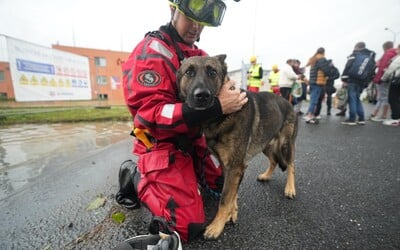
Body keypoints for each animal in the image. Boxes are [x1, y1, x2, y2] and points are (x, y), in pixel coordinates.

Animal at [177, 55, 298, 240]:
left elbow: (225, 198)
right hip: (265, 144)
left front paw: (216, 226)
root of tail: (288, 101)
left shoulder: (235, 166)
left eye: (212, 72)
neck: (220, 116)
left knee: (290, 165)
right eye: (189, 72)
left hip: (285, 144)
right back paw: (266, 175)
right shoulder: (229, 167)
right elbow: (232, 194)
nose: (202, 96)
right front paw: (232, 213)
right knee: (274, 161)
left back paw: (290, 188)